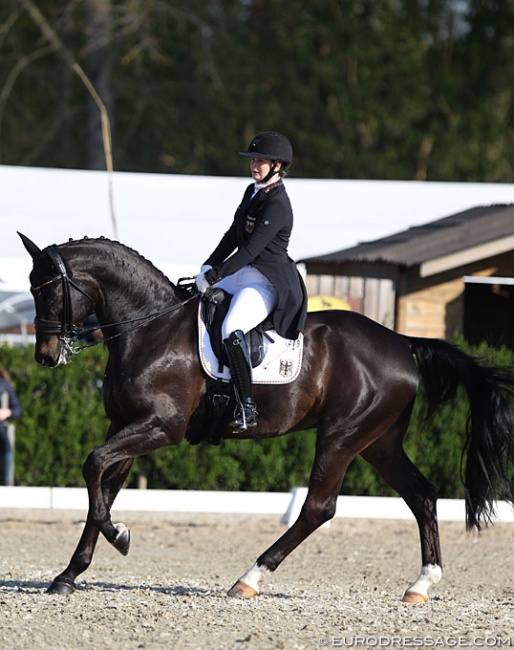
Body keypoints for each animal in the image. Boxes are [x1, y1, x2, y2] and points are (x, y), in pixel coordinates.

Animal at [20, 233, 512, 604]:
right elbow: (101, 484)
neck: (148, 328)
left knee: (319, 507)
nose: (45, 356)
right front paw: (69, 573)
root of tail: (400, 340)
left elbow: (93, 467)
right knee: (421, 495)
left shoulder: (160, 427)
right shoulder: (124, 425)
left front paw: (118, 535)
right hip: (379, 443)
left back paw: (249, 578)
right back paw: (422, 584)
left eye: (47, 290)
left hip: (342, 435)